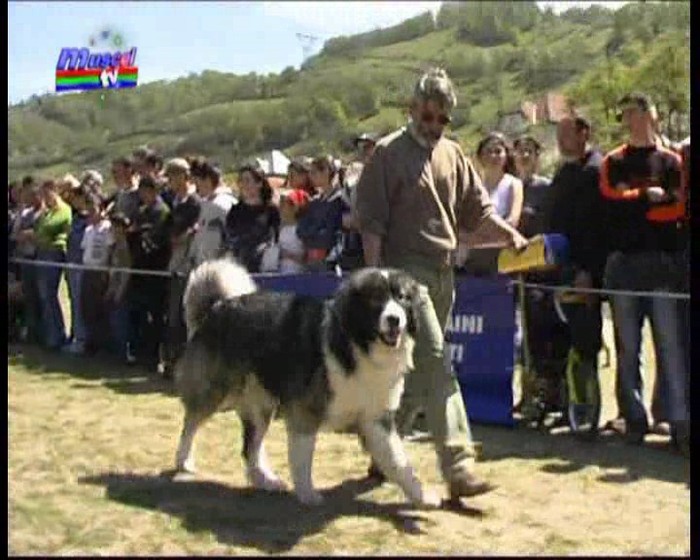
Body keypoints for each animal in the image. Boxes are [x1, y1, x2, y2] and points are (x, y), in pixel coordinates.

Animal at [174, 258, 438, 508]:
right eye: (376, 300)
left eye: (402, 298)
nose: (394, 319)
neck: (356, 345)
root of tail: (218, 306)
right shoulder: (306, 412)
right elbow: (303, 457)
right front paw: (307, 493)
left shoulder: (376, 419)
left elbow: (400, 462)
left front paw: (421, 496)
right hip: (215, 390)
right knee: (191, 422)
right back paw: (184, 461)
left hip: (261, 405)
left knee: (250, 447)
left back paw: (265, 480)